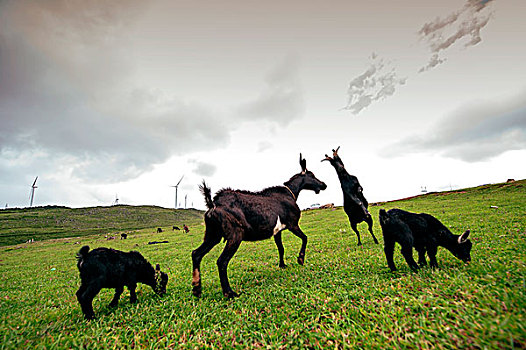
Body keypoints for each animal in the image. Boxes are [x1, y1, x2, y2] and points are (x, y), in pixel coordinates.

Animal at [192, 154, 328, 298]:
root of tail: (213, 204)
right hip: (235, 234)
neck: (291, 192)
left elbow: (281, 248)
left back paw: (197, 289)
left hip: (213, 234)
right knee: (221, 261)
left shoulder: (277, 231)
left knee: (196, 254)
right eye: (312, 175)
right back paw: (229, 293)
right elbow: (305, 238)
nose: (323, 185)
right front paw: (300, 259)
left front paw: (282, 265)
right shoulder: (293, 224)